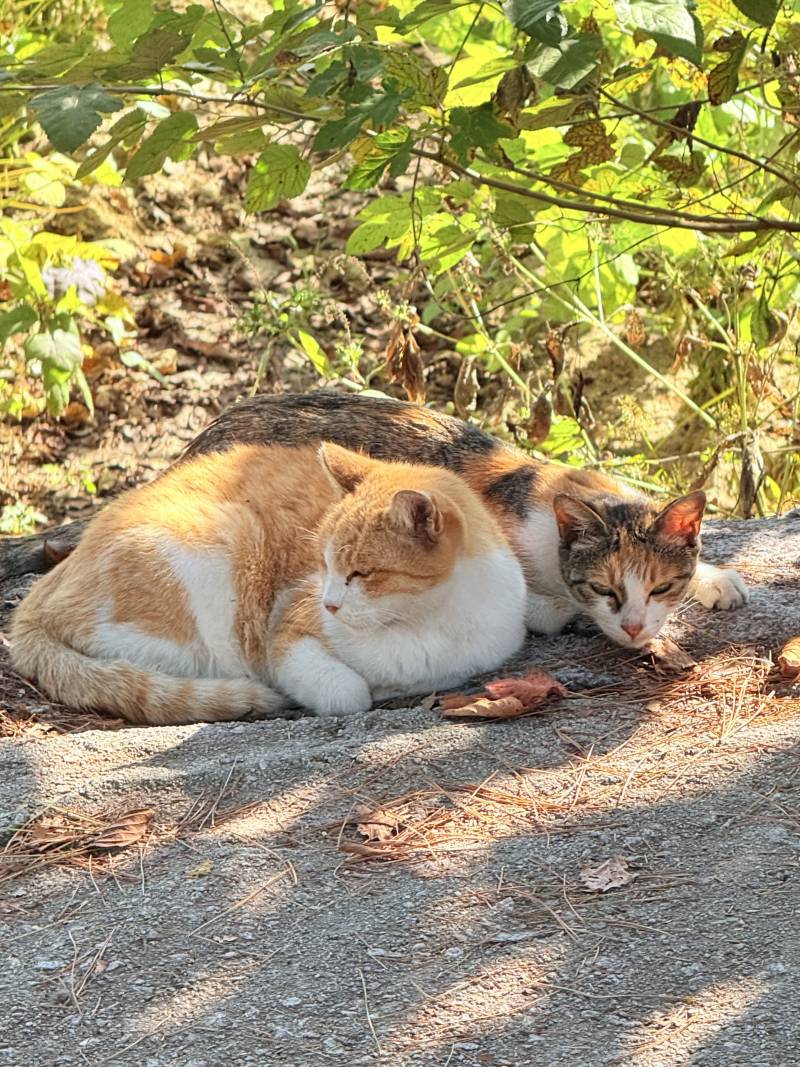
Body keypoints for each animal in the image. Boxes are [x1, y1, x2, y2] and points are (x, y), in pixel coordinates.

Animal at [10, 441, 533, 725]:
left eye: (360, 573)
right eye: (323, 563)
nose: (329, 605)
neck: (423, 624)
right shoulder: (283, 634)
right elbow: (348, 694)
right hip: (223, 549)